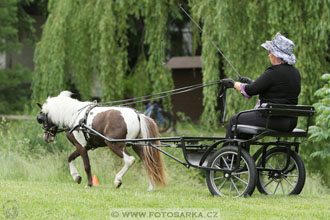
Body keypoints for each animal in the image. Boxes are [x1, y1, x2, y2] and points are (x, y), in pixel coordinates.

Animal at [36, 90, 168, 190]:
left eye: (41, 119)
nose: (46, 137)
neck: (74, 116)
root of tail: (137, 115)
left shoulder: (81, 146)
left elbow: (86, 165)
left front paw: (89, 184)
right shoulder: (85, 146)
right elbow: (70, 157)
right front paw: (76, 177)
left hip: (114, 145)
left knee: (130, 160)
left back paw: (117, 180)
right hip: (137, 145)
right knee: (148, 163)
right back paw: (151, 187)